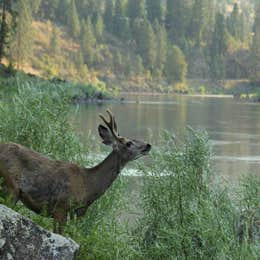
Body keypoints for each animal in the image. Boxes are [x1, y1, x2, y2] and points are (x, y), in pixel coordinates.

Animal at [0, 109, 151, 234]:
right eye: (128, 143)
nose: (148, 145)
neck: (88, 185)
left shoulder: (79, 212)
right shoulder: (61, 206)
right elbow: (60, 233)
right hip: (10, 186)